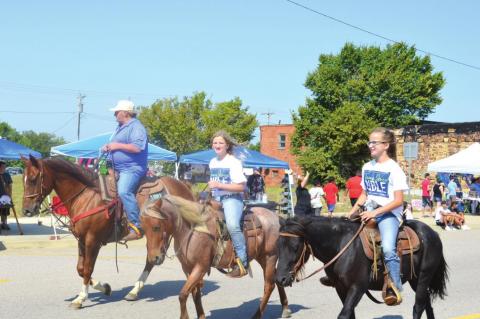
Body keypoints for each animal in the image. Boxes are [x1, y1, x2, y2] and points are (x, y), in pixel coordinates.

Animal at [22, 156, 195, 308]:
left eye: (33, 179)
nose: (27, 210)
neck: (87, 197)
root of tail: (183, 185)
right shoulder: (81, 240)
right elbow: (80, 269)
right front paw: (104, 287)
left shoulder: (93, 241)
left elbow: (87, 268)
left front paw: (81, 298)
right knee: (152, 258)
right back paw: (134, 291)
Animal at [142, 195, 292, 319]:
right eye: (144, 228)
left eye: (156, 227)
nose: (154, 258)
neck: (193, 231)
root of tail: (275, 216)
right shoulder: (187, 268)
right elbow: (195, 294)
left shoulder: (201, 267)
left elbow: (183, 295)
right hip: (262, 257)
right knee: (277, 280)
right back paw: (285, 309)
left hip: (270, 257)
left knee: (269, 285)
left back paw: (257, 315)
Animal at [276, 218, 448, 319]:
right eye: (278, 245)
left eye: (295, 247)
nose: (280, 279)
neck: (342, 245)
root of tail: (433, 233)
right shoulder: (341, 288)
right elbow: (350, 314)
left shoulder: (357, 288)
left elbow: (344, 315)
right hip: (415, 279)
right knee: (427, 304)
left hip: (424, 276)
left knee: (418, 306)